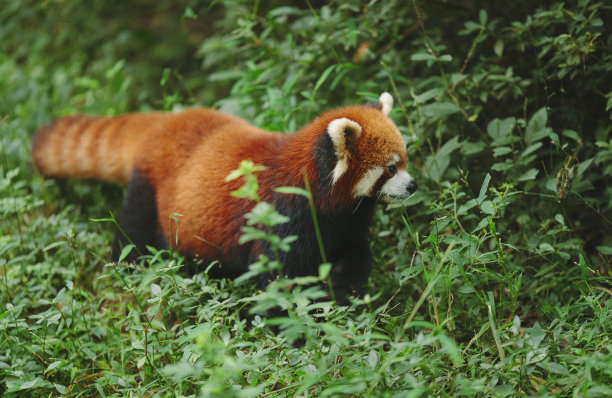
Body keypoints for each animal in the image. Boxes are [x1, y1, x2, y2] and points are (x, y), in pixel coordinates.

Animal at [32, 93, 416, 304]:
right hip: (148, 192)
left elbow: (353, 259)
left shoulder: (346, 221)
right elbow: (280, 278)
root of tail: (163, 124)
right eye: (391, 168)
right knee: (133, 235)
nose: (413, 186)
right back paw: (128, 269)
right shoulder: (284, 217)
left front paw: (346, 296)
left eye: (405, 162)